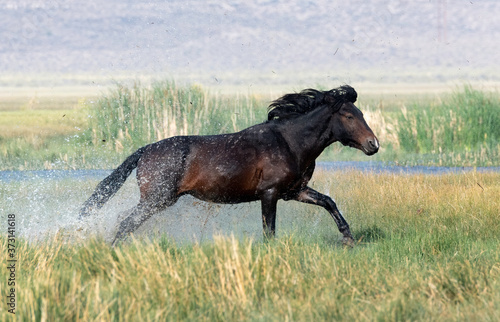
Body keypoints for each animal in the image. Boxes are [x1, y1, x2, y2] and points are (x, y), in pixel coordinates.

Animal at [80, 84, 378, 245]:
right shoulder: (269, 194)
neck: (289, 142)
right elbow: (269, 230)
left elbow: (328, 202)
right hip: (156, 199)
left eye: (361, 113)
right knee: (125, 223)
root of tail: (145, 150)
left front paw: (348, 238)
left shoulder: (294, 191)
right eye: (349, 116)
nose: (373, 144)